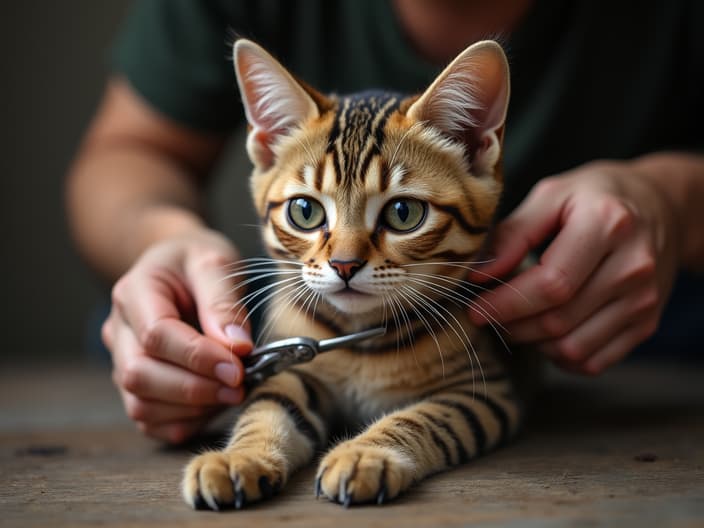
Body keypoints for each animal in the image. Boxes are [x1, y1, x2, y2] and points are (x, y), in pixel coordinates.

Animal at [184, 38, 520, 512]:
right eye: (304, 211)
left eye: (404, 213)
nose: (344, 265)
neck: (360, 340)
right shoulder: (293, 372)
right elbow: (265, 409)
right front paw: (239, 458)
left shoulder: (482, 392)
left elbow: (424, 418)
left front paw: (364, 454)